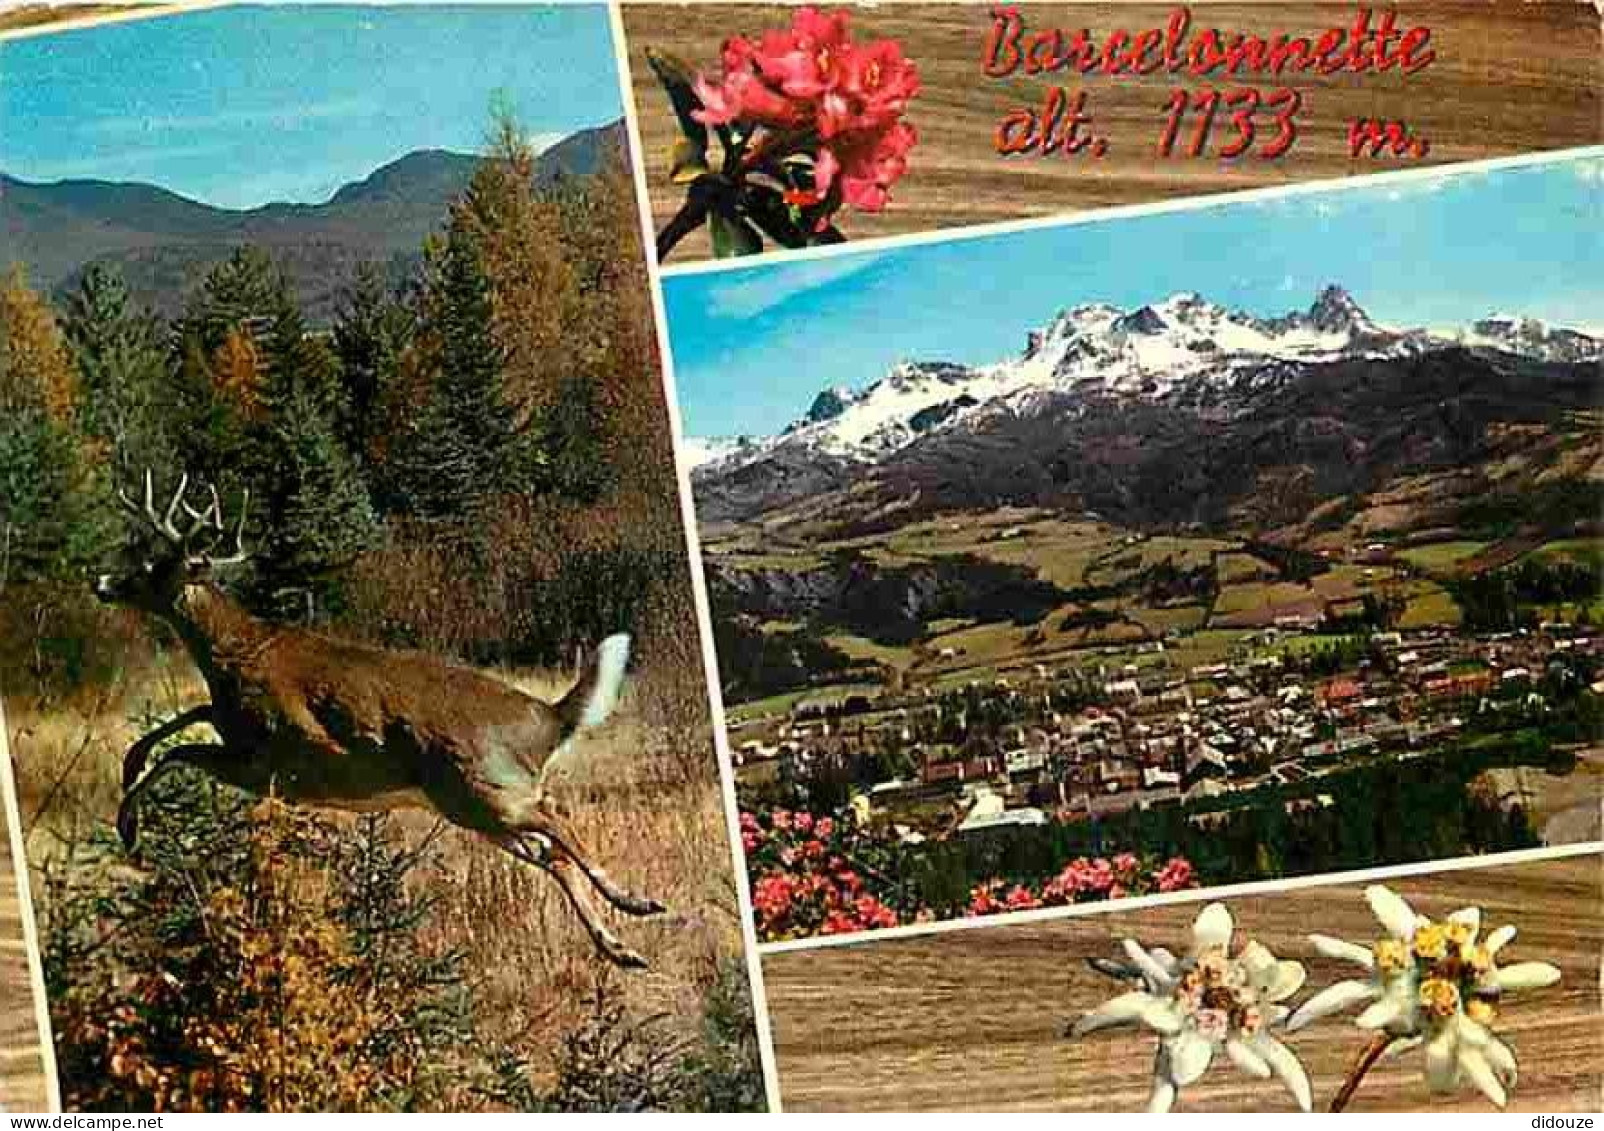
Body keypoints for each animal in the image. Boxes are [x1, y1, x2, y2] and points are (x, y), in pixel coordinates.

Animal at [94, 470, 665, 968]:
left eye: (154, 565)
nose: (102, 581)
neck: (236, 655)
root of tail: (547, 719)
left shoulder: (268, 759)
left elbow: (180, 750)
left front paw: (128, 827)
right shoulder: (239, 736)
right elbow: (186, 720)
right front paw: (129, 771)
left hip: (482, 786)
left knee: (557, 821)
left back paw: (635, 900)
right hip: (478, 808)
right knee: (553, 854)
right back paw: (621, 948)